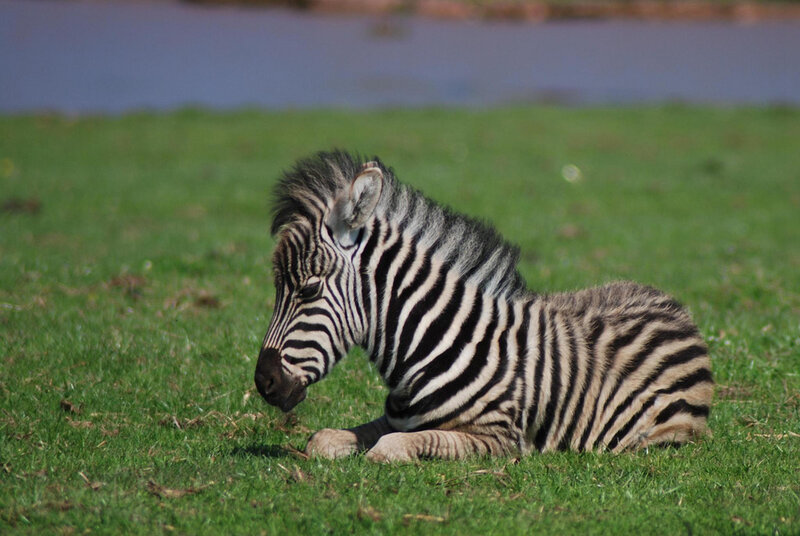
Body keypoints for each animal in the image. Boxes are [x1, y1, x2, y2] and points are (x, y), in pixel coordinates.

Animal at [254, 150, 713, 462]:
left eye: (309, 290)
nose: (263, 382)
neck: (432, 346)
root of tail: (671, 303)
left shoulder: (500, 438)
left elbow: (392, 447)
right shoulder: (394, 418)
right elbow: (324, 439)